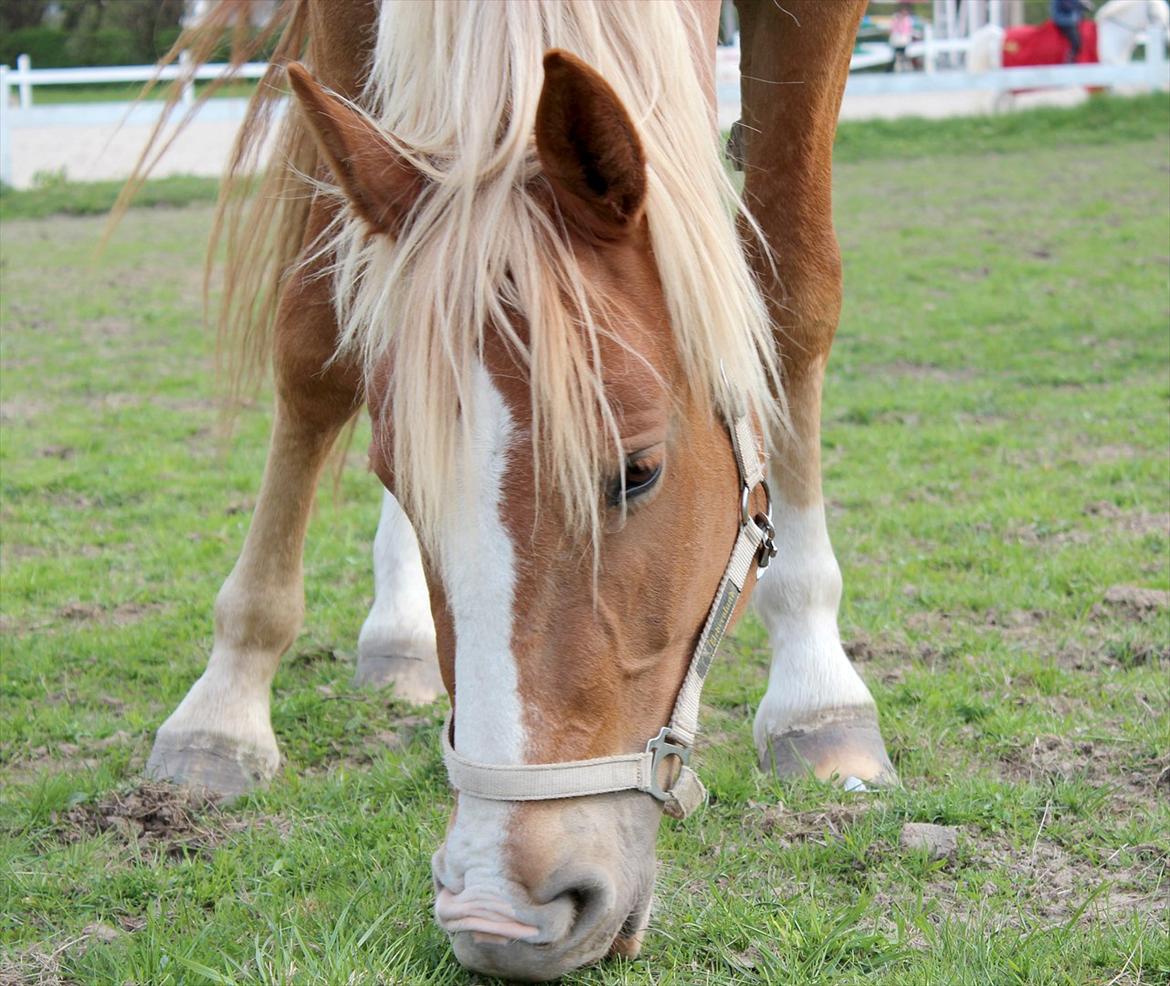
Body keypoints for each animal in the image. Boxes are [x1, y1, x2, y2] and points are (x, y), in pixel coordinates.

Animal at [139, 0, 893, 977]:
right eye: (394, 479)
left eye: (637, 472)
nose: (498, 916)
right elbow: (317, 337)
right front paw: (224, 710)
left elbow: (791, 299)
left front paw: (816, 685)